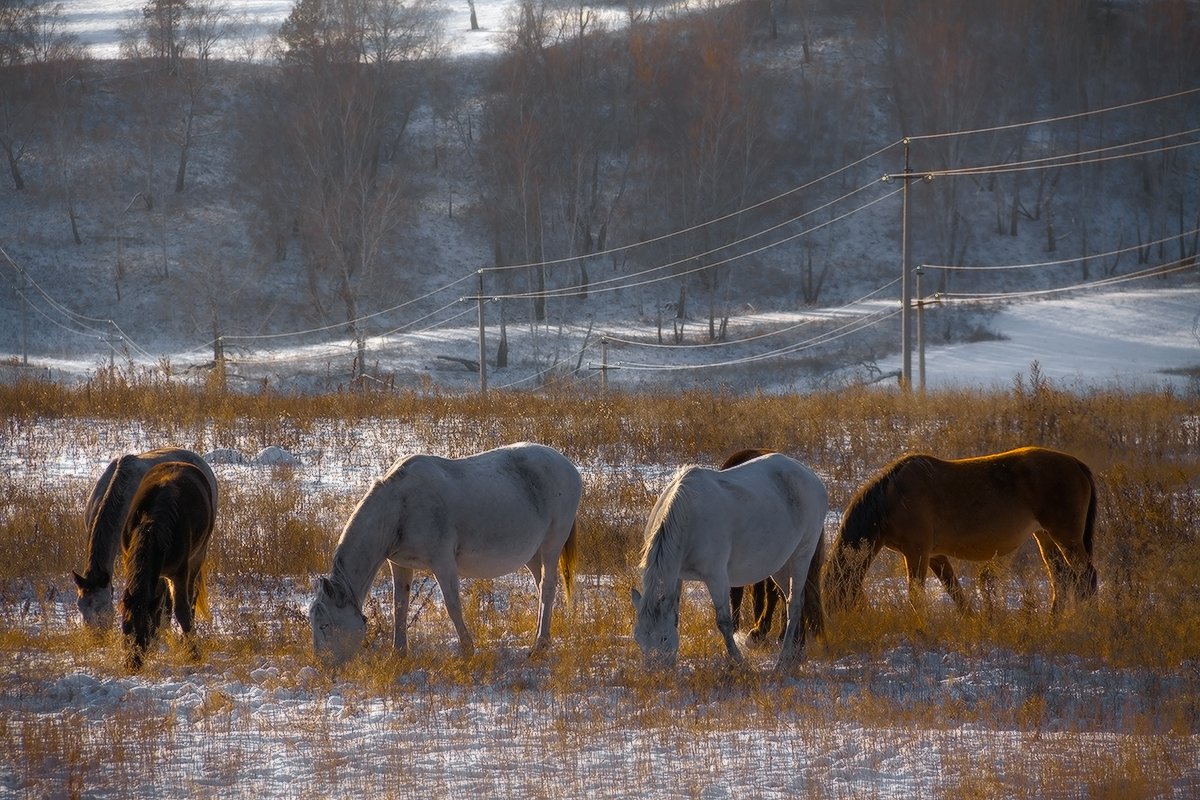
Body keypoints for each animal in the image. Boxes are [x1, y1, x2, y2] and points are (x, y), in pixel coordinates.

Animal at [121, 460, 218, 671]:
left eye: (144, 627)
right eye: (125, 626)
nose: (132, 663)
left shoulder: (180, 571)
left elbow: (182, 610)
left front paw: (193, 652)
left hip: (198, 555)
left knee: (191, 596)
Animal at [312, 441, 583, 666]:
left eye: (325, 625)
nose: (323, 666)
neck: (399, 508)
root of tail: (568, 466)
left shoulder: (442, 563)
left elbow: (453, 605)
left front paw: (467, 650)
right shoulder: (399, 564)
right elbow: (400, 606)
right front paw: (398, 654)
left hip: (551, 543)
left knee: (548, 587)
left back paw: (539, 646)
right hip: (533, 555)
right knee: (541, 587)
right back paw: (540, 639)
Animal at [633, 453, 830, 671]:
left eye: (664, 638)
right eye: (638, 638)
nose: (656, 672)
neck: (688, 518)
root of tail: (811, 476)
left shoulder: (716, 577)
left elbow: (724, 622)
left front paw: (740, 662)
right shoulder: (677, 576)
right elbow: (675, 617)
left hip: (801, 557)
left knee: (794, 605)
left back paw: (782, 661)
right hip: (780, 566)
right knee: (794, 600)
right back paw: (796, 657)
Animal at [825, 448, 1099, 618]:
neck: (891, 498)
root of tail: (1076, 464)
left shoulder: (916, 553)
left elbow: (916, 596)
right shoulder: (934, 555)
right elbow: (955, 591)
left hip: (1066, 537)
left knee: (1086, 576)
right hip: (1045, 537)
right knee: (1062, 577)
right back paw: (1053, 622)